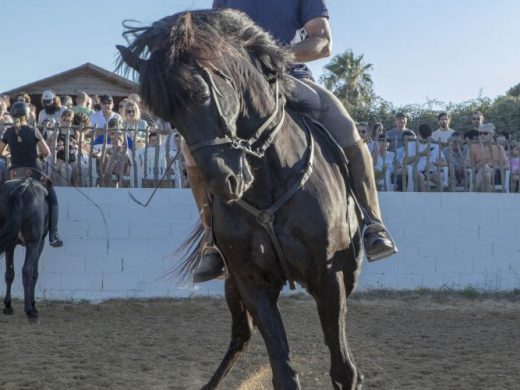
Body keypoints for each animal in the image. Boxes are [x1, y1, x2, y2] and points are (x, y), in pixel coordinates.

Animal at [0, 175, 49, 322]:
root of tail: (23, 187)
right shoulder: (39, 243)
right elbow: (34, 273)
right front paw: (33, 305)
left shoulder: (11, 245)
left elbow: (9, 274)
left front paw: (8, 305)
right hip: (33, 243)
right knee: (27, 271)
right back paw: (30, 311)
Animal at [118, 9, 362, 390]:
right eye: (166, 114)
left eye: (202, 92)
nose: (225, 180)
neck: (270, 182)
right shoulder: (250, 281)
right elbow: (282, 369)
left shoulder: (328, 276)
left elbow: (342, 368)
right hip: (232, 285)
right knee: (240, 336)